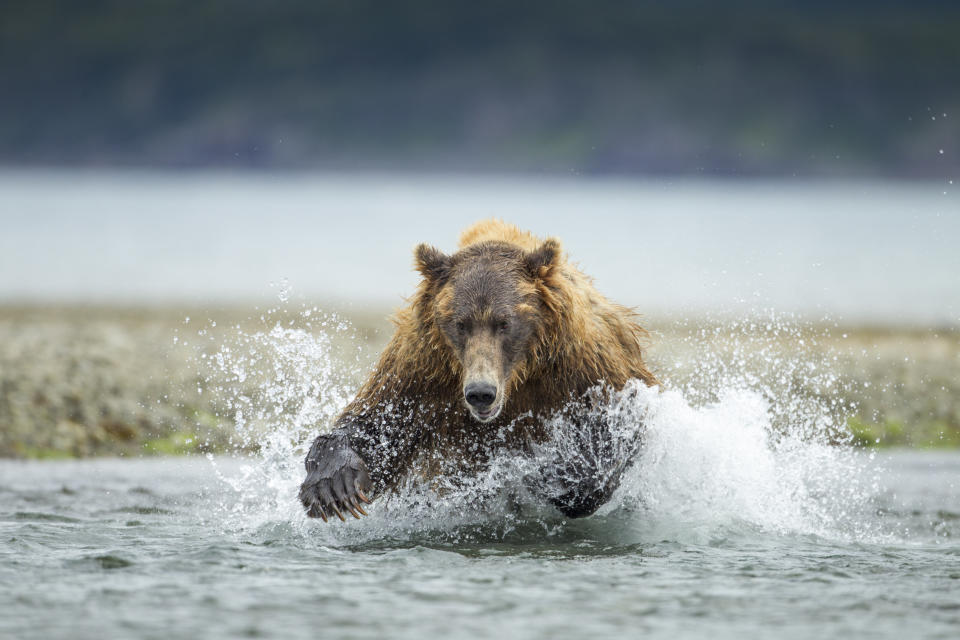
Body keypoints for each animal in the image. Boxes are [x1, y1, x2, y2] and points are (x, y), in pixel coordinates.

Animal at [300, 219, 660, 520]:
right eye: (461, 323)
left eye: (504, 323)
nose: (480, 393)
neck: (521, 374)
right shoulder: (423, 370)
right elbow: (379, 426)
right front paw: (333, 485)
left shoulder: (583, 366)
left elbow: (610, 435)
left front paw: (551, 474)